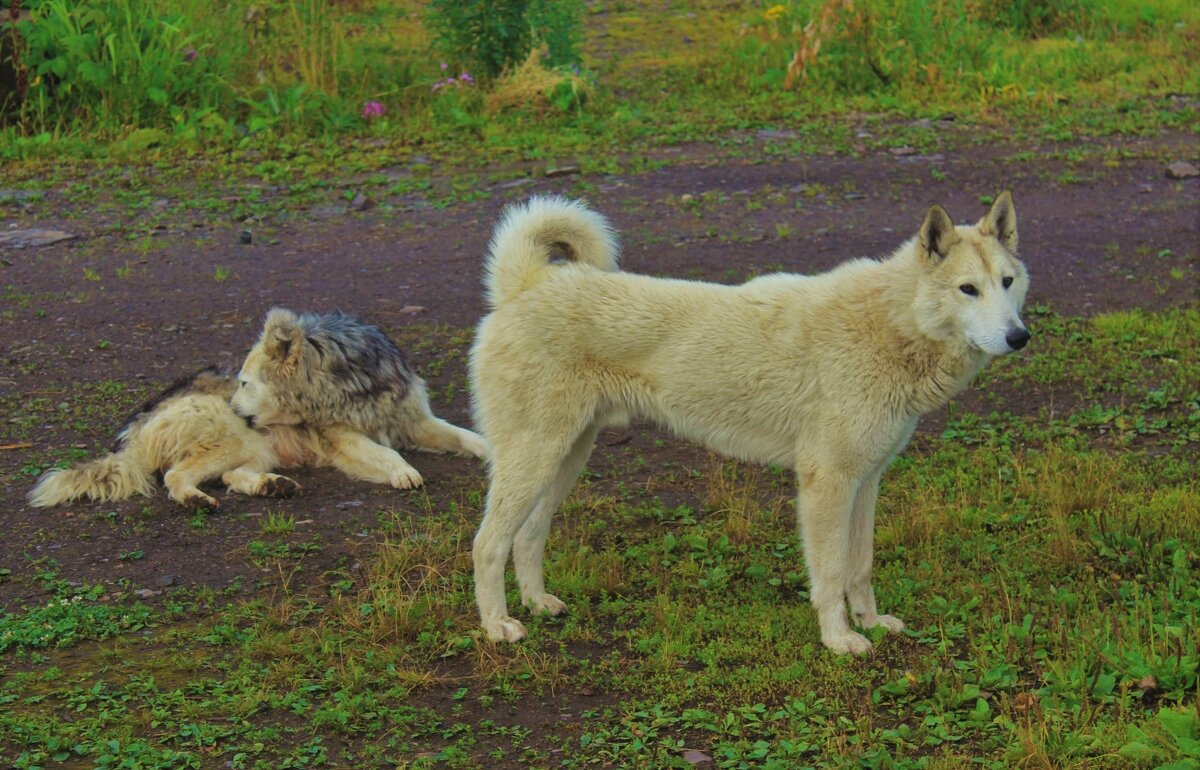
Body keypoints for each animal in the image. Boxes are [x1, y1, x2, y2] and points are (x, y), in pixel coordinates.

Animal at [468, 193, 1032, 652]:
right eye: (967, 289)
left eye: (1007, 283)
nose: (1019, 337)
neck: (891, 324)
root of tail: (525, 286)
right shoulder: (827, 484)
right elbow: (830, 574)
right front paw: (839, 640)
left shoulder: (866, 481)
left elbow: (860, 566)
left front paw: (870, 624)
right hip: (534, 460)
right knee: (487, 543)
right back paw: (497, 626)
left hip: (565, 460)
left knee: (527, 536)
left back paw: (539, 604)